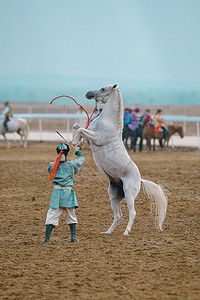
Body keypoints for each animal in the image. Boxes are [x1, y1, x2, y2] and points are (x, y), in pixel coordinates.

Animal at [72, 84, 168, 234]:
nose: (88, 93)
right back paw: (107, 232)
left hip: (129, 194)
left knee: (132, 212)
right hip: (114, 195)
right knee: (118, 215)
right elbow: (77, 126)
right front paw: (77, 143)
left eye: (103, 89)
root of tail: (140, 180)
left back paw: (126, 232)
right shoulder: (90, 139)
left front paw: (75, 144)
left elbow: (80, 129)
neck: (108, 122)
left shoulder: (97, 138)